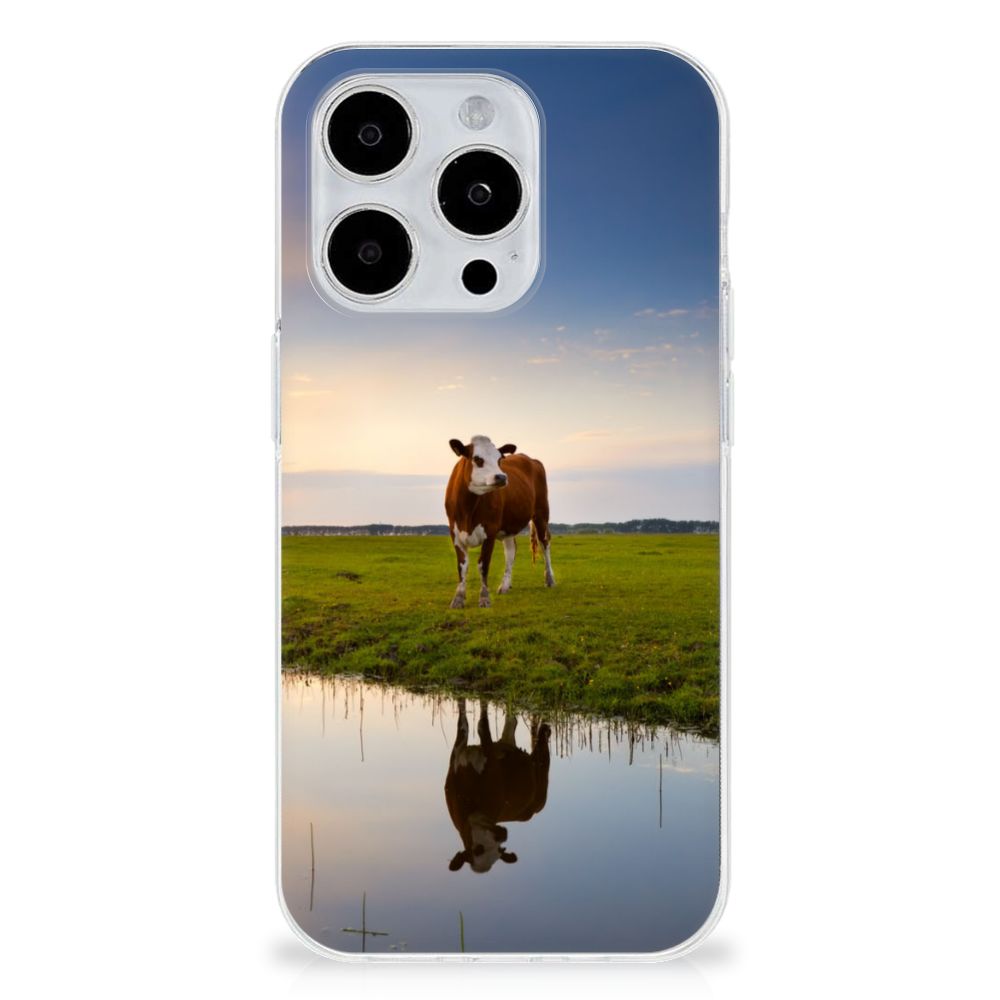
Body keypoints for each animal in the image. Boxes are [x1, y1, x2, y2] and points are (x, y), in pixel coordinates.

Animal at [444, 435, 555, 609]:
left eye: (499, 459)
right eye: (477, 459)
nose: (502, 477)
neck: (468, 509)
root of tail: (531, 459)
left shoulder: (490, 531)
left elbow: (483, 565)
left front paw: (484, 598)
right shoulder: (455, 533)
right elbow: (462, 566)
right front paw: (458, 598)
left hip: (541, 513)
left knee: (545, 543)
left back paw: (549, 579)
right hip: (509, 526)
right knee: (511, 551)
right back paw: (505, 585)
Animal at [444, 698, 551, 874]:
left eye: (499, 851)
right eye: (477, 849)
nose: (503, 835)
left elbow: (482, 725)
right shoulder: (457, 754)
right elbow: (463, 722)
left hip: (542, 775)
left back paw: (546, 729)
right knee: (511, 721)